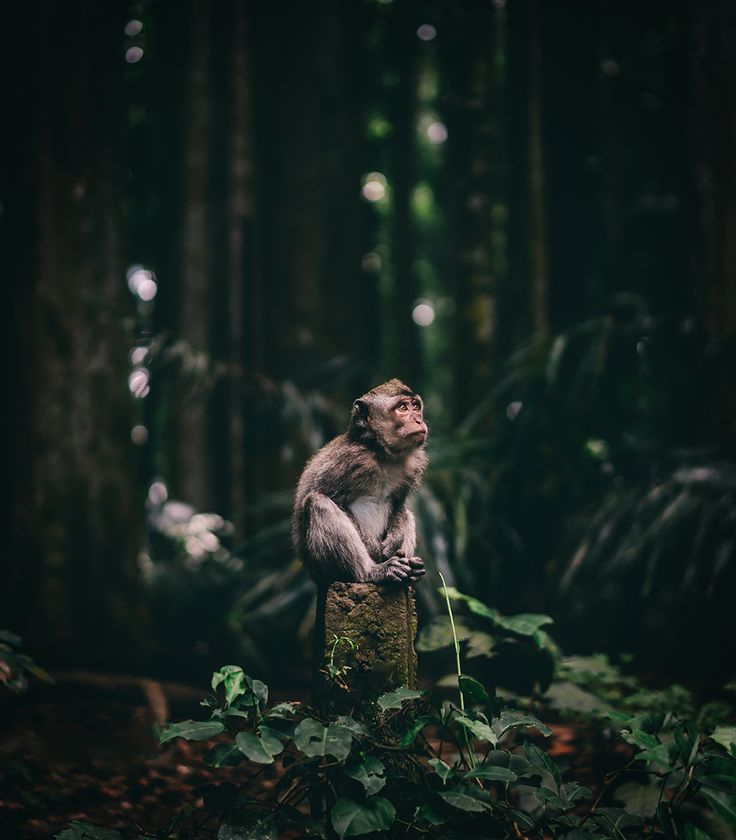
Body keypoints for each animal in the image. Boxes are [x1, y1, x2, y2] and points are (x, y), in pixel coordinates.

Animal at [294, 378, 428, 588]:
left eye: (416, 406)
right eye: (403, 408)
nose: (418, 420)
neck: (381, 453)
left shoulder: (414, 464)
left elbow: (399, 504)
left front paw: (394, 540)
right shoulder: (351, 460)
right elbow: (335, 501)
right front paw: (374, 550)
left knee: (407, 513)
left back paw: (410, 571)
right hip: (324, 572)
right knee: (318, 503)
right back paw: (372, 572)